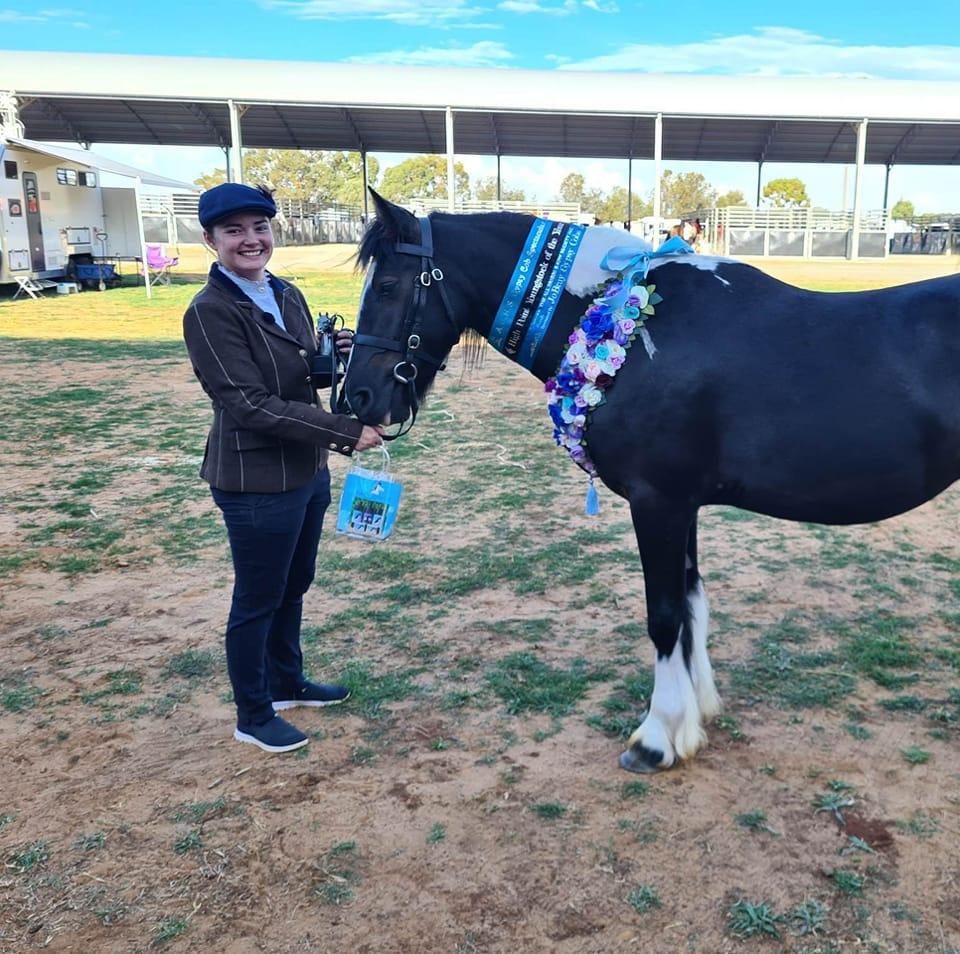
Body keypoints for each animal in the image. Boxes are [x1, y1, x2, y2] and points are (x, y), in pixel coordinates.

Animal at [344, 190, 960, 774]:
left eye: (389, 286)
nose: (357, 397)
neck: (627, 321)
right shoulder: (684, 505)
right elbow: (691, 604)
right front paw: (696, 713)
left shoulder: (659, 502)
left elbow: (664, 617)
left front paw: (657, 738)